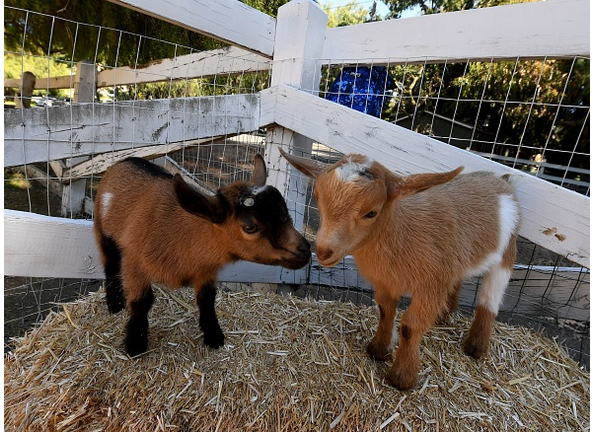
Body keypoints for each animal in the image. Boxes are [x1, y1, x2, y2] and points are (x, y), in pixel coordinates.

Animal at [93, 155, 310, 358]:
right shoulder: (135, 263)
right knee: (110, 264)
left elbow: (207, 299)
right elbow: (141, 302)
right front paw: (135, 344)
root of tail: (128, 159)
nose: (305, 250)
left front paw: (214, 336)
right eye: (250, 227)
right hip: (103, 233)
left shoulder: (205, 270)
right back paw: (114, 303)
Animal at [280, 149, 520, 392]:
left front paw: (402, 377)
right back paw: (444, 316)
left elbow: (410, 326)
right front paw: (378, 350)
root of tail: (500, 179)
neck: (402, 233)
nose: (323, 251)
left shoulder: (431, 286)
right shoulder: (387, 282)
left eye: (372, 212)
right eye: (318, 197)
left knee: (491, 296)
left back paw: (476, 346)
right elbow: (385, 311)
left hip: (507, 251)